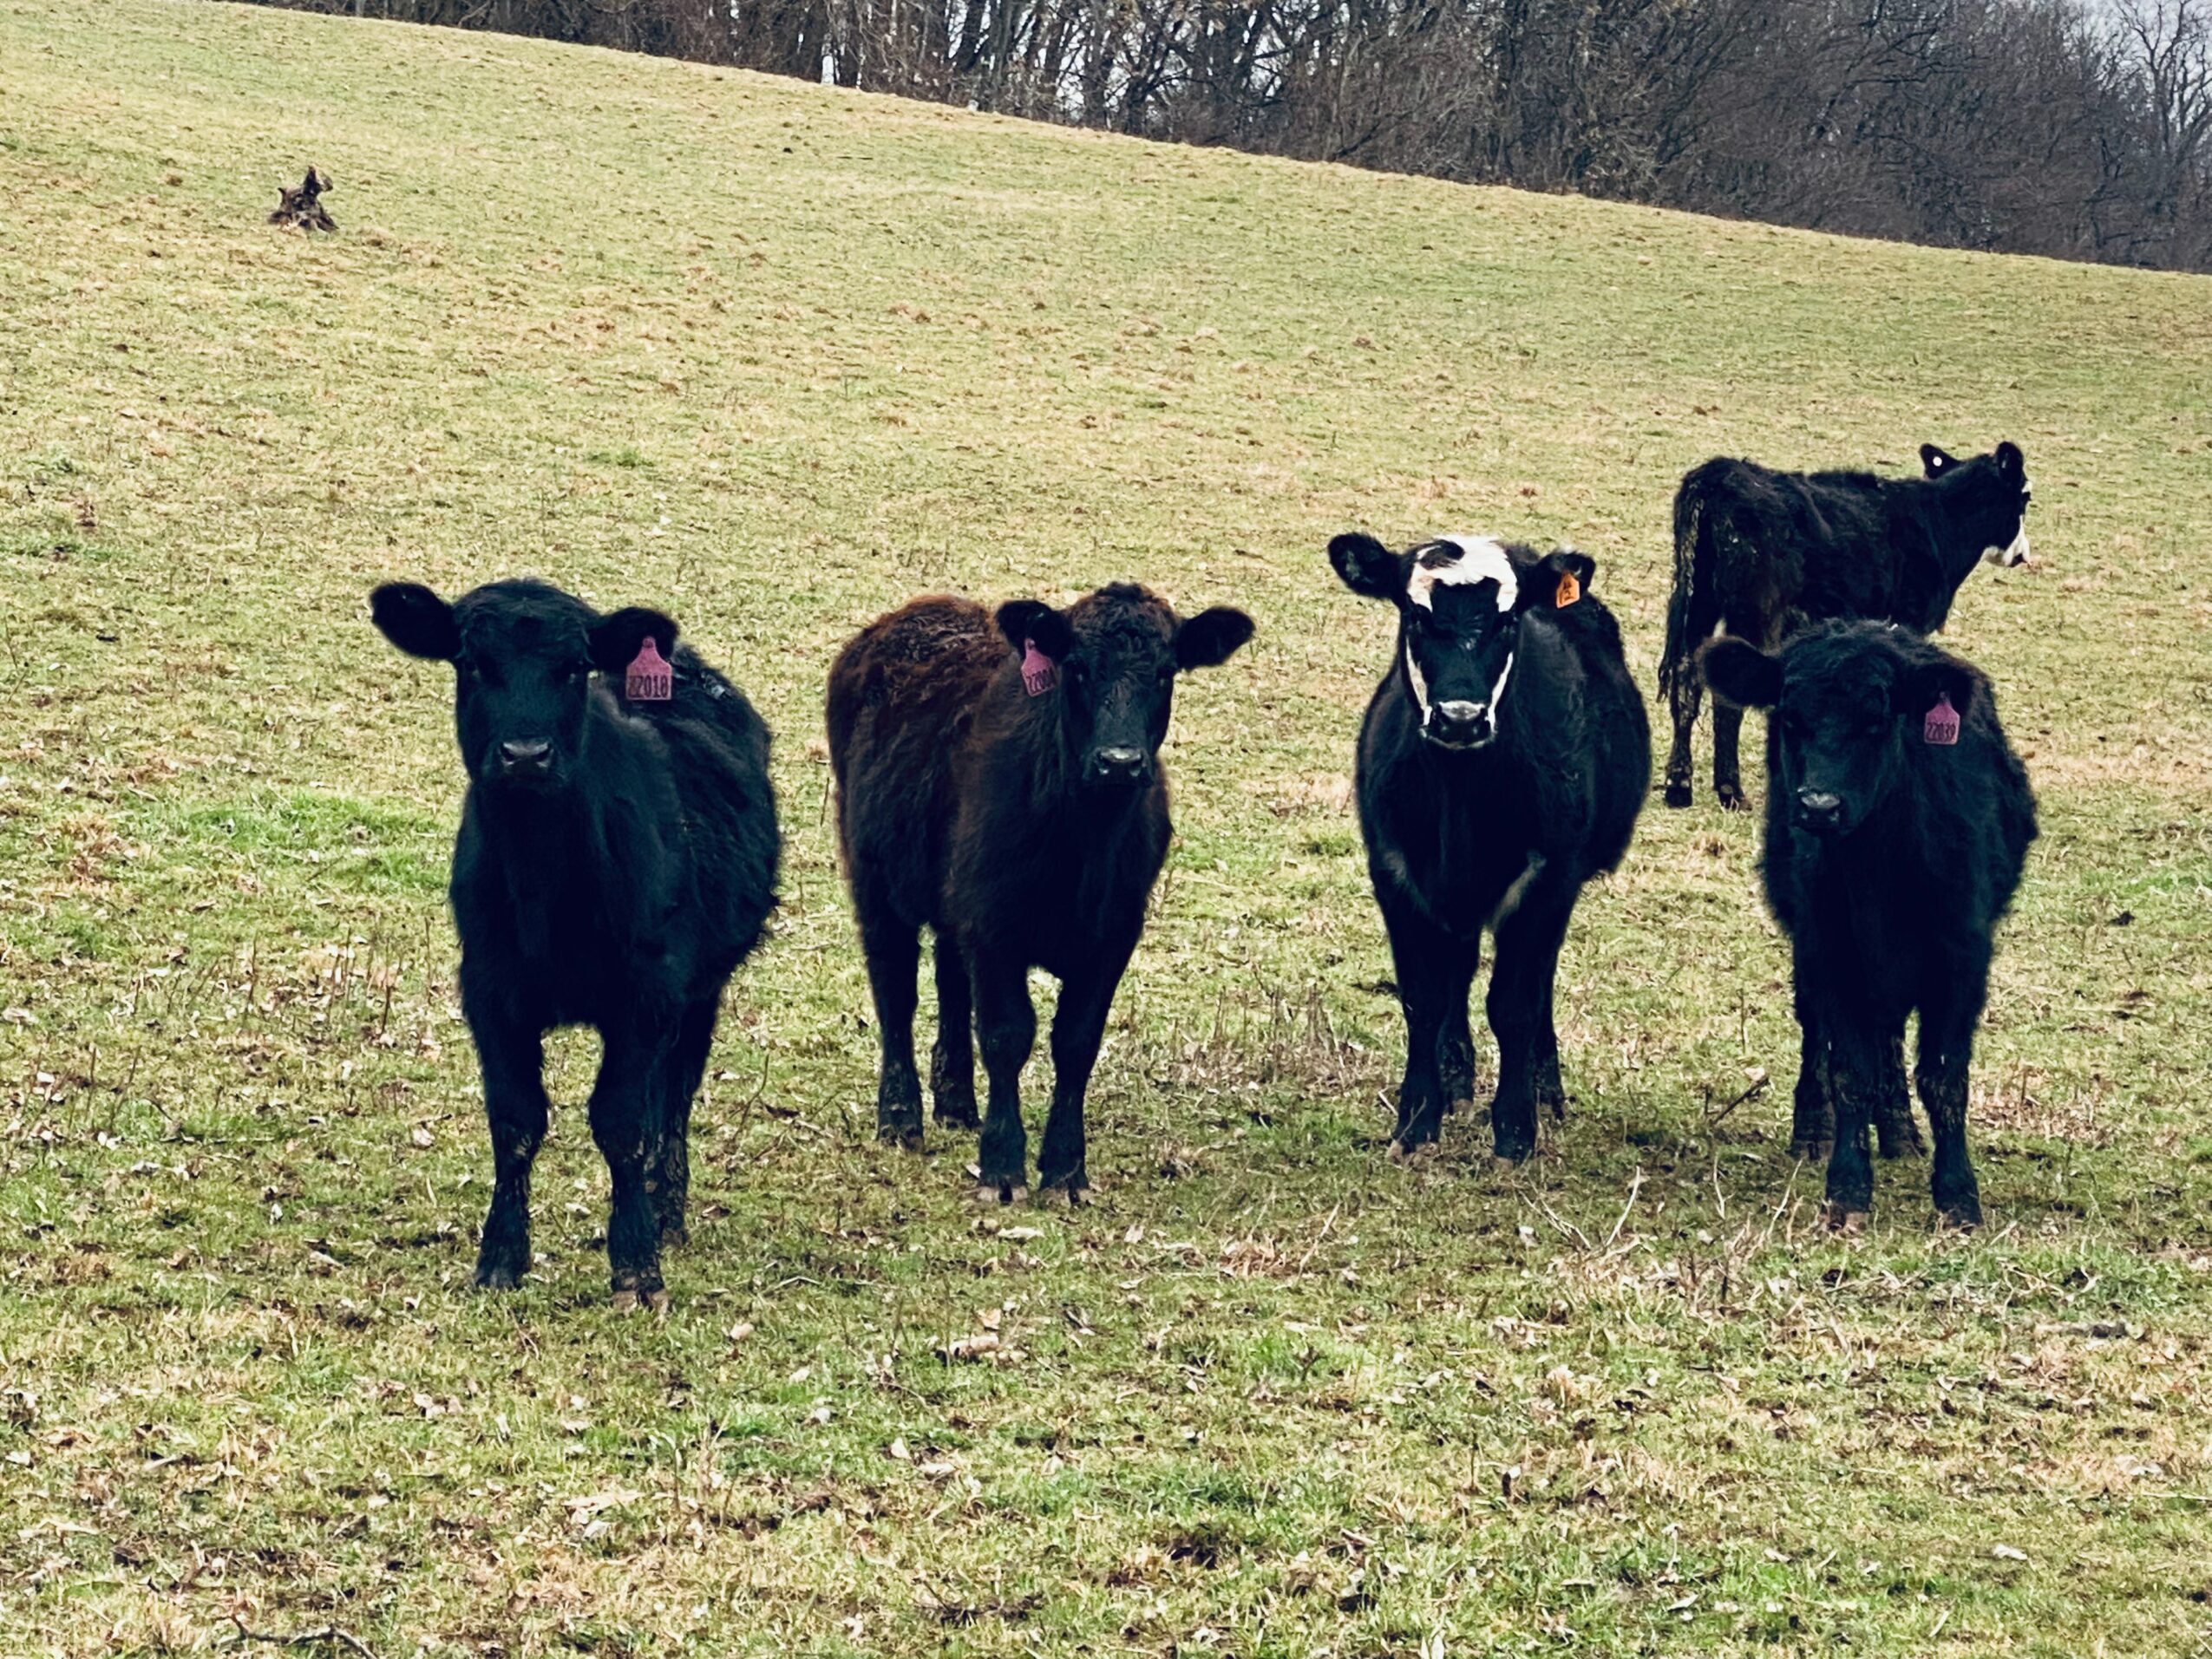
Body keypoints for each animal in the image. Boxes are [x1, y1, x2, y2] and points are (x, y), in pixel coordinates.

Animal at [369, 578, 780, 1308]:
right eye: (473, 663)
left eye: (571, 668)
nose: (525, 755)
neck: (543, 889)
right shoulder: (490, 992)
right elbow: (515, 1120)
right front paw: (501, 1257)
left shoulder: (646, 993)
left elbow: (620, 1122)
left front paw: (637, 1265)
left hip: (700, 988)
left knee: (674, 1092)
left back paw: (666, 1209)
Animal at [826, 583, 1253, 1203]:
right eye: (1075, 667)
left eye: (1166, 671)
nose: (1119, 763)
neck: (1084, 845)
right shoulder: (994, 927)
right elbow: (1007, 1035)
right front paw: (1003, 1167)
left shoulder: (1112, 937)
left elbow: (1076, 1043)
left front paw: (1066, 1170)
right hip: (874, 879)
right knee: (895, 991)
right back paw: (901, 1117)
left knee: (950, 981)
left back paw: (957, 1104)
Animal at [1328, 532, 1650, 1162]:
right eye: (1415, 615)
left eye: (1506, 621)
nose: (1460, 718)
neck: (1459, 799)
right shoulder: (1394, 873)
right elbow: (1424, 997)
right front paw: (1417, 1117)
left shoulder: (1549, 879)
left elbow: (1515, 1004)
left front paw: (1516, 1126)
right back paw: (1456, 1080)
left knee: (1538, 982)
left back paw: (1545, 1087)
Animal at [1658, 441, 2032, 810]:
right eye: (2026, 496)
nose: (2022, 556)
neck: (1939, 524)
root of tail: (1716, 477)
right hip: (1751, 613)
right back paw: (1729, 791)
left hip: (1698, 606)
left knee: (1686, 681)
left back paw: (1679, 785)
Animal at [1699, 620, 2035, 1230]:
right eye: (1789, 717)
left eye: (1876, 721)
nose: (1819, 806)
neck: (1881, 869)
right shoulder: (1831, 951)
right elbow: (1848, 1069)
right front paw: (1847, 1187)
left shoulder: (1962, 957)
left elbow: (1944, 1077)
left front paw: (1958, 1194)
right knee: (1822, 1034)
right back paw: (1815, 1128)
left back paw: (1901, 1131)